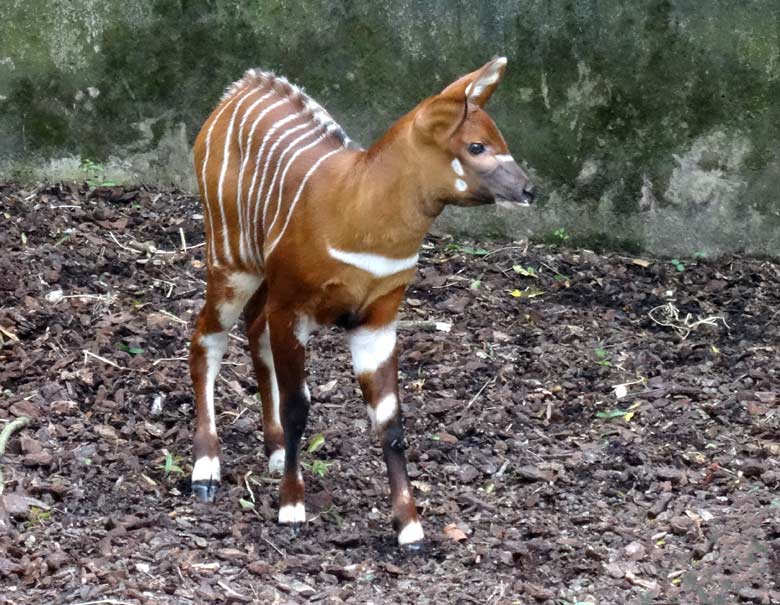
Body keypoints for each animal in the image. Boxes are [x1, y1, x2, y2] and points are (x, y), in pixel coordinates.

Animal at [189, 56, 532, 544]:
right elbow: (299, 407)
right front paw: (291, 509)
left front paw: (410, 529)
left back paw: (272, 451)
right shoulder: (294, 309)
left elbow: (390, 421)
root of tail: (233, 93)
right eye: (477, 146)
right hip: (230, 259)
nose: (528, 190)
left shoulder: (377, 319)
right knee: (207, 338)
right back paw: (205, 470)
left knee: (252, 329)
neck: (360, 211)